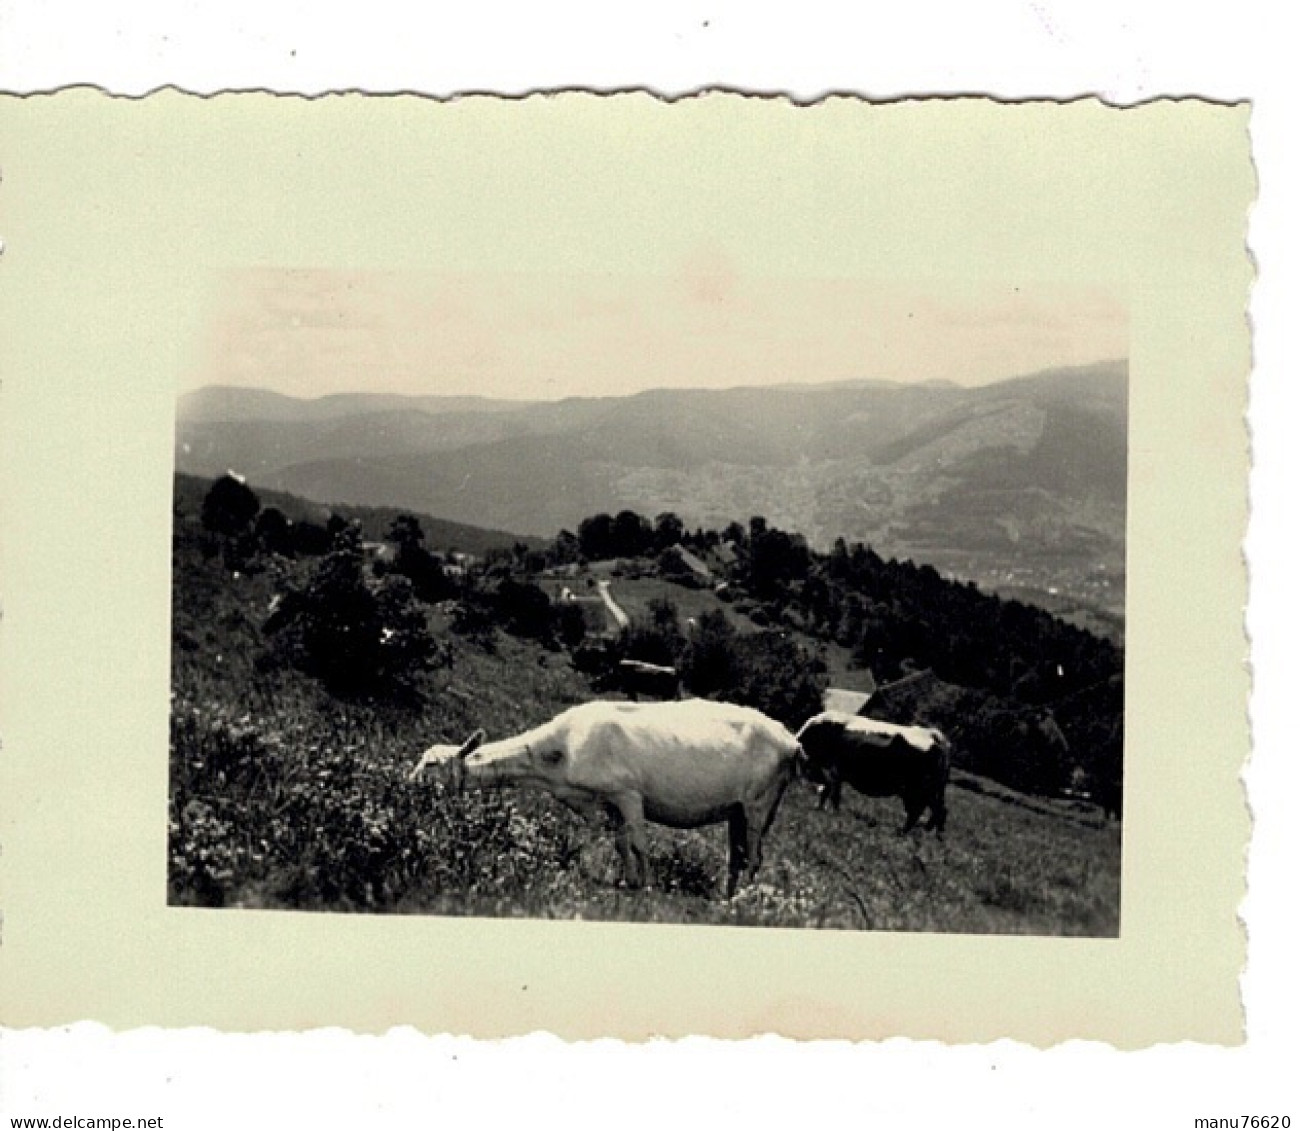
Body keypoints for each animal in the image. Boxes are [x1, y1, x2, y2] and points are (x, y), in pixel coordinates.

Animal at [408, 702, 800, 894]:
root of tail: (791, 740)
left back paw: (743, 900)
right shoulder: (604, 802)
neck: (559, 752)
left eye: (431, 763)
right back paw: (726, 897)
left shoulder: (626, 792)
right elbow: (621, 843)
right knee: (737, 855)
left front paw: (647, 886)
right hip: (737, 809)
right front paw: (628, 881)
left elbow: (639, 844)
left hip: (760, 803)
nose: (407, 784)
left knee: (754, 857)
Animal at [795, 712, 951, 837]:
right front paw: (819, 808)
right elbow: (826, 791)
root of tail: (932, 734)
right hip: (929, 791)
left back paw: (902, 832)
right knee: (940, 810)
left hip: (917, 791)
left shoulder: (834, 771)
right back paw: (933, 834)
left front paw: (833, 813)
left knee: (919, 811)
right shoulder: (832, 773)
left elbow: (833, 794)